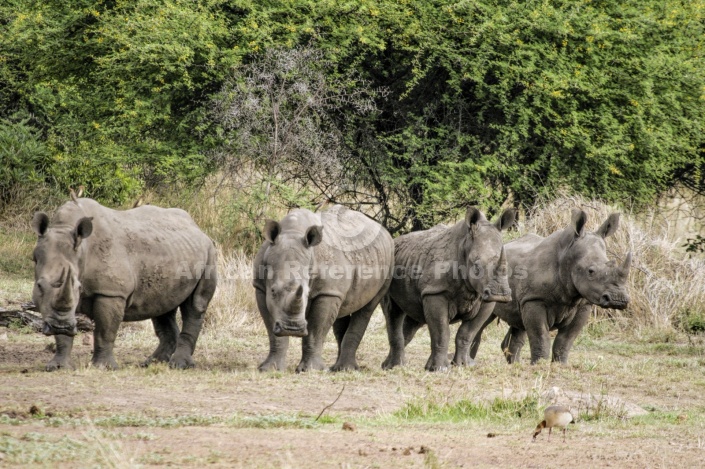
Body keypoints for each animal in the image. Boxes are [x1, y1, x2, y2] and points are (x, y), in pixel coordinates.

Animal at [30, 194, 216, 370]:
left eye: (78, 287)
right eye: (39, 286)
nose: (59, 326)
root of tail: (198, 228)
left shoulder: (111, 293)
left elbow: (105, 331)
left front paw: (103, 367)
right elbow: (62, 335)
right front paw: (58, 366)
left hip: (209, 252)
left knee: (195, 305)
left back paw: (179, 365)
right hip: (173, 252)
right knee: (162, 307)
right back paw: (152, 363)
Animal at [254, 205, 396, 372]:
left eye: (307, 293)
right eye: (273, 291)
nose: (292, 328)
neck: (292, 232)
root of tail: (384, 231)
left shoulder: (327, 292)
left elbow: (316, 330)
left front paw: (311, 370)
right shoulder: (260, 288)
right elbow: (273, 332)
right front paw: (270, 369)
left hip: (390, 261)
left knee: (366, 309)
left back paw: (346, 369)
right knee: (342, 311)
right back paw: (337, 368)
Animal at [382, 207, 516, 372]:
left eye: (507, 266)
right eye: (476, 266)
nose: (500, 295)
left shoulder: (486, 299)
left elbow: (466, 334)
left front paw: (463, 365)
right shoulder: (435, 292)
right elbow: (442, 332)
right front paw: (441, 369)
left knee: (413, 317)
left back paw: (394, 365)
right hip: (386, 268)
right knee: (392, 312)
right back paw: (394, 367)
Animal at [468, 209, 632, 366]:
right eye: (590, 271)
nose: (618, 299)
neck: (567, 255)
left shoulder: (584, 304)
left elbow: (566, 340)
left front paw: (560, 365)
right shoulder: (534, 299)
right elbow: (541, 337)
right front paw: (539, 365)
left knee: (518, 323)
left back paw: (515, 365)